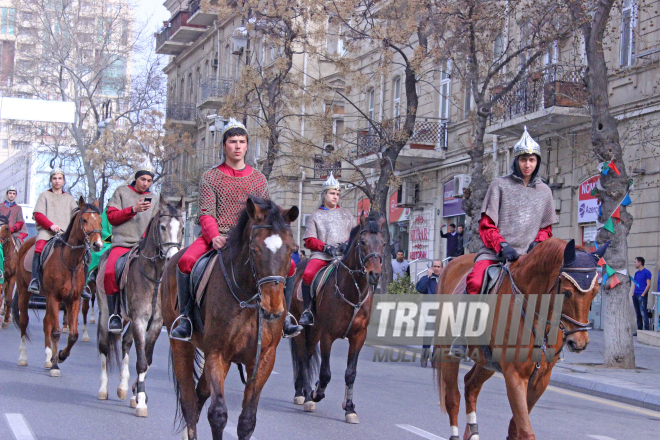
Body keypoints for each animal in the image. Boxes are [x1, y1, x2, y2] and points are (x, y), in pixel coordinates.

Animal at [12, 198, 103, 376]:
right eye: (84, 220)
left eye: (100, 220)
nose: (97, 244)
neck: (69, 262)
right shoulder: (54, 297)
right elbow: (55, 332)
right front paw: (55, 365)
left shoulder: (73, 300)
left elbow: (73, 335)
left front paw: (60, 356)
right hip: (24, 292)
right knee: (24, 322)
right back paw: (23, 358)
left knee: (46, 323)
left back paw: (48, 358)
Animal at [96, 198, 183, 418]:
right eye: (162, 227)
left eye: (182, 228)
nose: (171, 258)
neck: (156, 277)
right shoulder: (139, 320)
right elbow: (142, 361)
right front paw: (141, 402)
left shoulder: (155, 324)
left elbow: (147, 360)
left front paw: (138, 396)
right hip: (106, 313)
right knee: (103, 346)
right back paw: (103, 389)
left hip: (127, 318)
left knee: (126, 342)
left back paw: (123, 387)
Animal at [162, 199, 300, 440]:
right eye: (254, 249)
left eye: (291, 249)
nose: (273, 307)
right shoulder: (217, 354)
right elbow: (218, 415)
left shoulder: (263, 360)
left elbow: (246, 420)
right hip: (181, 346)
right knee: (189, 402)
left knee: (200, 395)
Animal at [288, 213, 386, 422]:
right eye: (363, 242)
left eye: (382, 243)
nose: (374, 274)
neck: (352, 291)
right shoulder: (328, 335)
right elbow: (325, 373)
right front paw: (316, 392)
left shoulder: (358, 337)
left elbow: (351, 373)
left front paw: (349, 408)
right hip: (303, 327)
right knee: (303, 357)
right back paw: (306, 396)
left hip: (314, 331)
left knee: (308, 356)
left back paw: (301, 391)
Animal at [436, 239, 604, 438]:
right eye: (567, 292)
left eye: (595, 292)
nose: (579, 342)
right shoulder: (515, 375)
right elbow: (525, 431)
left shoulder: (541, 379)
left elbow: (515, 428)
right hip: (448, 354)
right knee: (453, 398)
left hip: (487, 362)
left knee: (471, 385)